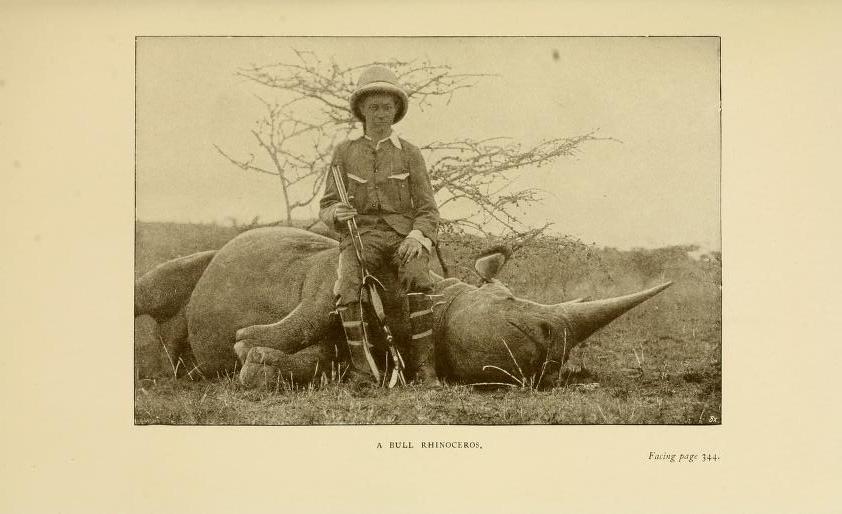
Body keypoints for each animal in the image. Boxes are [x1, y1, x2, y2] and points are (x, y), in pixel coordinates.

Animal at [134, 227, 671, 389]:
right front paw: (247, 344)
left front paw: (249, 358)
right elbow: (312, 310)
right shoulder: (328, 270)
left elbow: (311, 360)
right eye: (530, 322)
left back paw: (181, 368)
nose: (552, 361)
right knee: (157, 284)